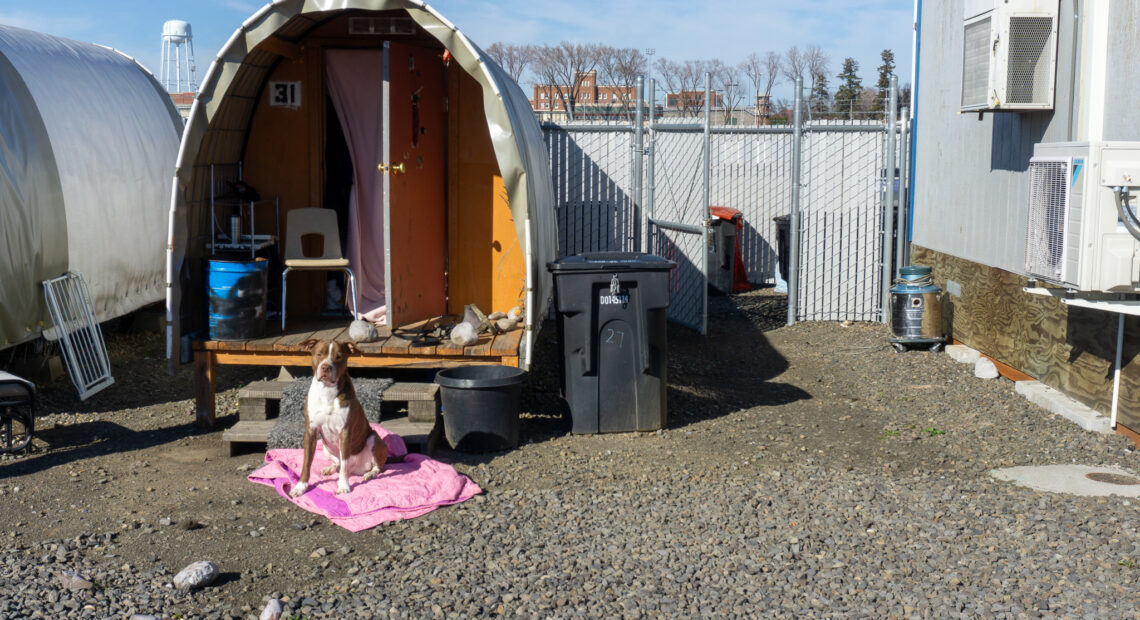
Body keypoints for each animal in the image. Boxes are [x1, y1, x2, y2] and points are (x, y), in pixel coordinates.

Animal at [287, 339, 389, 499]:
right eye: (319, 354)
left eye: (339, 357)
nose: (326, 367)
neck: (327, 390)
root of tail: (357, 469)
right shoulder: (310, 431)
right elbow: (306, 462)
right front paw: (300, 487)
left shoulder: (345, 432)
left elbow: (345, 464)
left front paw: (343, 486)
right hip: (324, 446)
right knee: (338, 463)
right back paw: (330, 468)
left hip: (374, 439)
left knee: (377, 466)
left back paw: (370, 474)